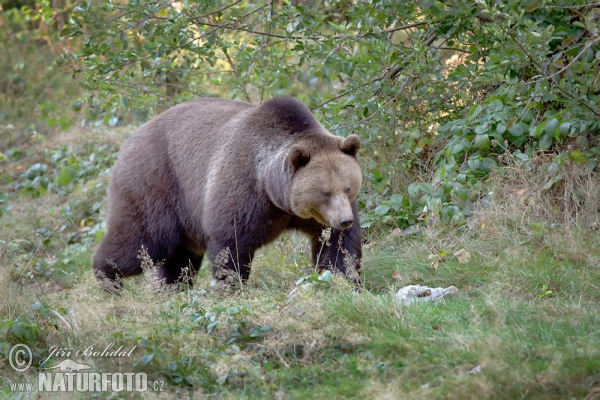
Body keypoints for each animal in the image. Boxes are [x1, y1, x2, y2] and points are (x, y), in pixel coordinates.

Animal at [93, 97, 364, 290]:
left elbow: (337, 248)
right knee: (142, 242)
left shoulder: (315, 217)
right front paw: (231, 285)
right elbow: (231, 243)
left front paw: (345, 280)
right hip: (156, 186)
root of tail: (126, 144)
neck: (274, 193)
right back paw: (107, 278)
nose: (344, 220)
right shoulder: (243, 190)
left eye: (348, 187)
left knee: (178, 261)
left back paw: (171, 289)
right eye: (325, 192)